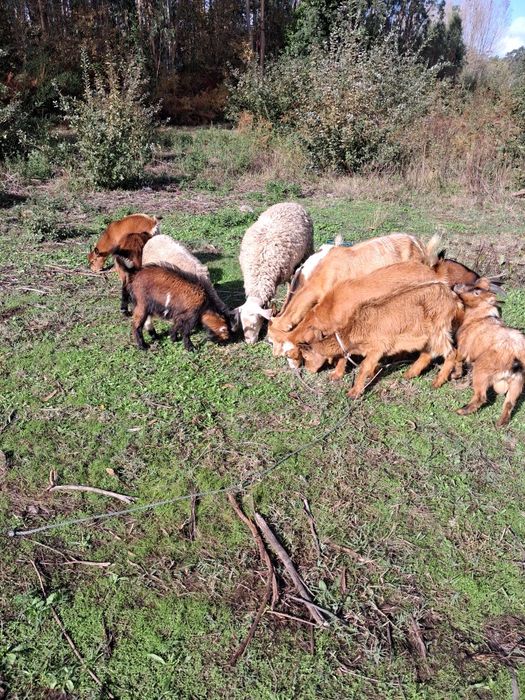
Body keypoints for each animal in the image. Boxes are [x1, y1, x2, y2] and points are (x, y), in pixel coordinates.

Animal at [285, 281, 463, 398]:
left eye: (305, 355)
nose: (308, 370)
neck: (356, 328)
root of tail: (452, 295)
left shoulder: (378, 347)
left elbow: (363, 367)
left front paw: (354, 392)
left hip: (439, 330)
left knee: (452, 352)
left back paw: (438, 381)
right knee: (428, 353)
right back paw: (410, 373)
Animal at [434, 279, 523, 426]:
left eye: (477, 292)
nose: (457, 285)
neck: (479, 317)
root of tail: (515, 356)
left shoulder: (463, 347)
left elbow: (458, 359)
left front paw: (455, 375)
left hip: (482, 370)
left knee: (481, 396)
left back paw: (461, 411)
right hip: (518, 381)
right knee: (510, 402)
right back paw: (500, 423)